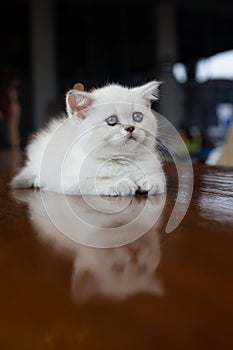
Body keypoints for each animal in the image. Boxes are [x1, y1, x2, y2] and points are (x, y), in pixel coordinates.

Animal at [10, 82, 164, 197]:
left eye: (137, 117)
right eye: (111, 121)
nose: (130, 128)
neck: (122, 159)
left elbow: (157, 179)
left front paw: (151, 182)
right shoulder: (68, 181)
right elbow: (96, 182)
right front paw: (123, 183)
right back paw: (37, 180)